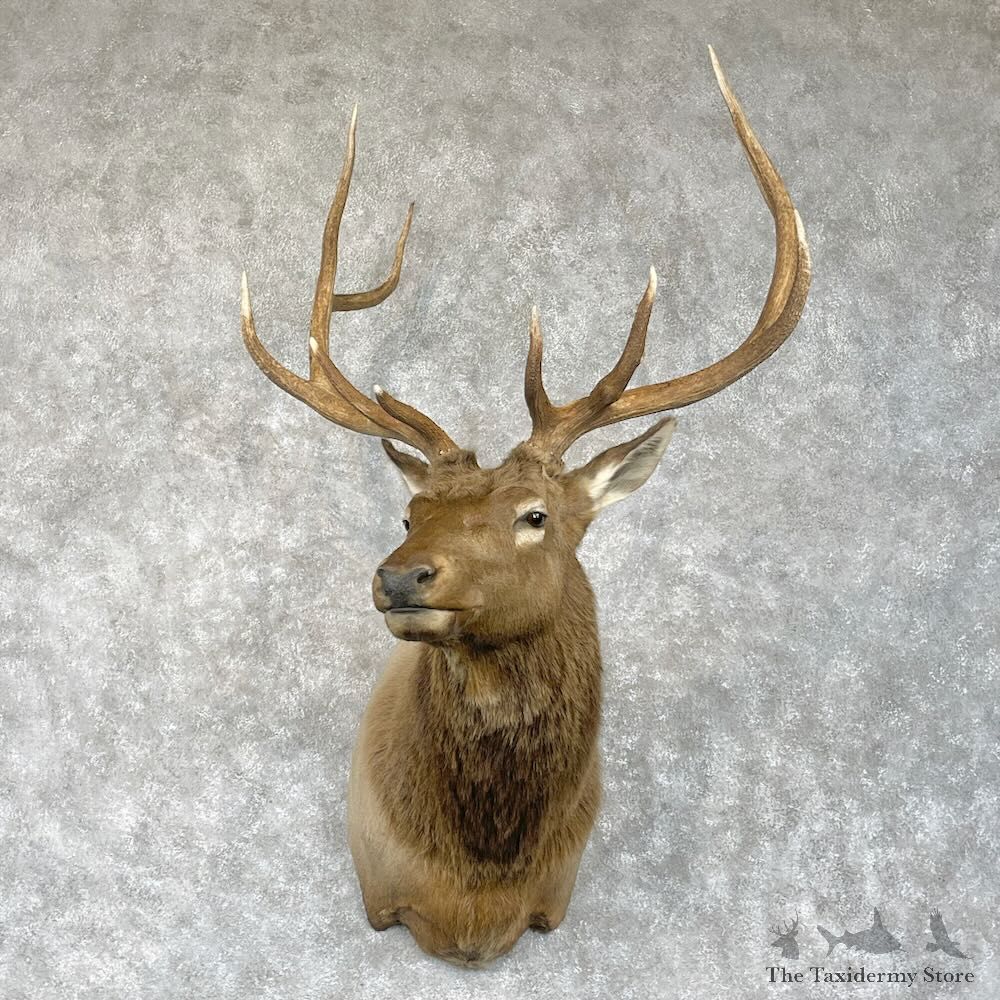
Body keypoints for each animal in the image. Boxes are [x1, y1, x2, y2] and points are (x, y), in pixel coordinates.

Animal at [239, 48, 811, 967]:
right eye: (409, 514)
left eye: (535, 515)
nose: (400, 577)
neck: (479, 887)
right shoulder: (382, 895)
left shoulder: (552, 904)